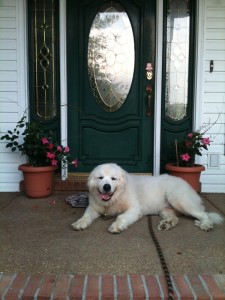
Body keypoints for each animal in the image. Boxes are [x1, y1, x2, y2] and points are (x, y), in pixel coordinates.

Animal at [71, 163, 223, 233]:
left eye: (113, 179)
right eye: (100, 178)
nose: (107, 187)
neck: (112, 200)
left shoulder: (134, 209)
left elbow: (121, 217)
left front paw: (116, 226)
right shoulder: (93, 207)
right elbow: (86, 216)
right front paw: (80, 223)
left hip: (178, 199)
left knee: (203, 214)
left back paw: (206, 224)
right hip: (166, 209)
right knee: (175, 218)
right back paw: (167, 224)